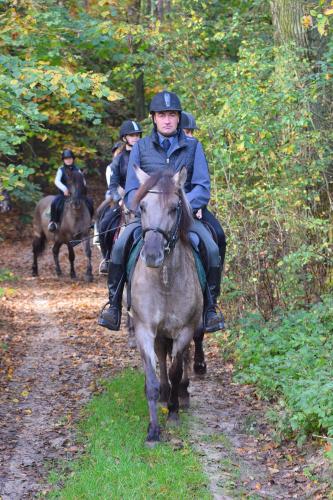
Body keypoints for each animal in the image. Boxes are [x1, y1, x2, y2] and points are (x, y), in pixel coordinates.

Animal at [131, 168, 204, 446]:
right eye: (142, 206)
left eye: (174, 208)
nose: (152, 255)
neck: (164, 279)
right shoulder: (144, 329)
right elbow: (153, 377)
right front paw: (153, 430)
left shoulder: (184, 329)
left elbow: (175, 369)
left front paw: (173, 413)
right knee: (162, 354)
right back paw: (165, 393)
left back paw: (180, 394)